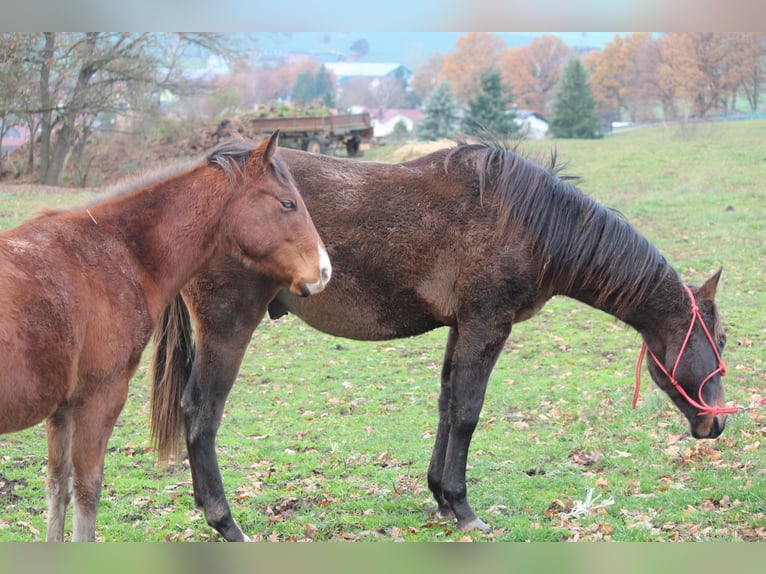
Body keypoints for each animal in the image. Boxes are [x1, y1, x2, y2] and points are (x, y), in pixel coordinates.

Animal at [0, 131, 332, 542]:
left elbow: (58, 490)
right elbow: (86, 492)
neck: (115, 252)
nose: (324, 270)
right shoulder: (99, 399)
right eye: (288, 203)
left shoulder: (62, 411)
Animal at [150, 140, 732, 542]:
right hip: (228, 327)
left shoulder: (461, 327)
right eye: (723, 339)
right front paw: (463, 507)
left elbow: (447, 405)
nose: (717, 424)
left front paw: (441, 499)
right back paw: (226, 523)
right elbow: (469, 411)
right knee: (201, 414)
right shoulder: (487, 324)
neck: (532, 222)